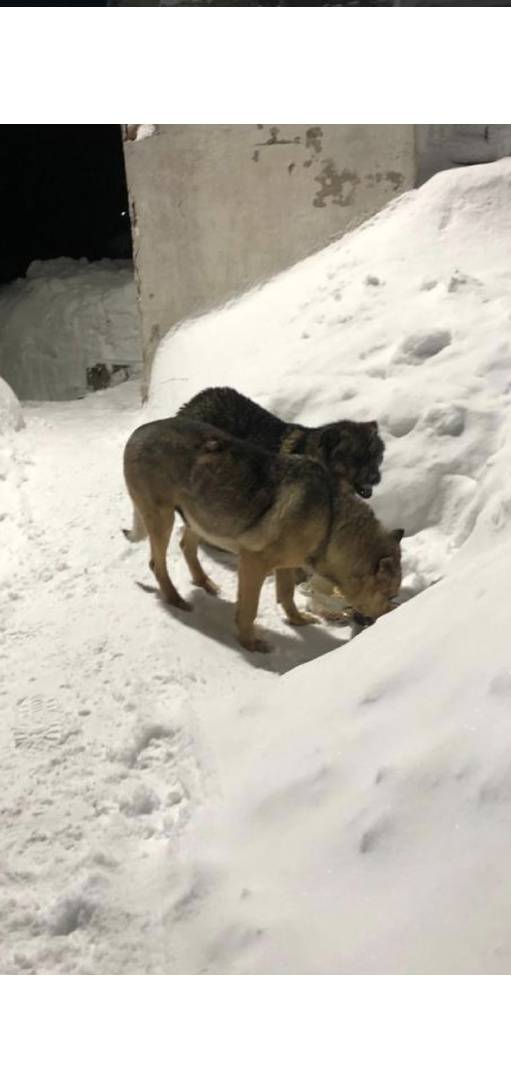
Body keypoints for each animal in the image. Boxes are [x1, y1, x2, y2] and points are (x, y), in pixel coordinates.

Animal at [123, 412, 401, 648]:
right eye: (390, 597)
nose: (389, 619)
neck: (330, 522)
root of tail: (138, 431)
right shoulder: (253, 563)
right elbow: (249, 609)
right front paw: (250, 643)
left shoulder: (286, 564)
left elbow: (287, 595)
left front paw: (298, 621)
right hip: (164, 518)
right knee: (157, 564)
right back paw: (176, 599)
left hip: (202, 517)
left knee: (185, 546)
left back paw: (204, 582)